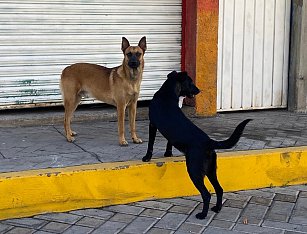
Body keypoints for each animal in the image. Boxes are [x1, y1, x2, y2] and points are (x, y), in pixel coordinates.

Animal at [143, 71, 251, 219]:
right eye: (191, 82)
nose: (199, 90)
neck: (168, 94)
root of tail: (209, 142)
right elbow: (169, 143)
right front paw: (168, 154)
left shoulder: (152, 124)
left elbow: (150, 144)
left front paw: (147, 157)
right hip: (211, 170)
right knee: (219, 189)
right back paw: (217, 208)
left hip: (194, 170)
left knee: (206, 194)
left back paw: (203, 214)